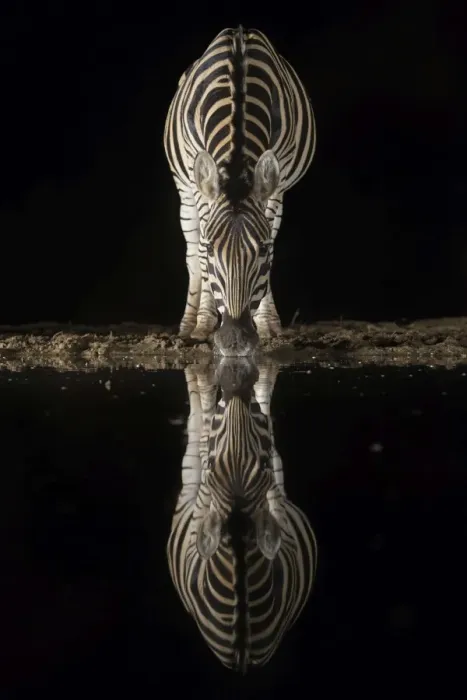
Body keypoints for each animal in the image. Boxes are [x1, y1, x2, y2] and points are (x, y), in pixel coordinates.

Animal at [163, 26, 316, 356]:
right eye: (212, 250)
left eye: (261, 251)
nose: (235, 342)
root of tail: (239, 31)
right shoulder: (199, 185)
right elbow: (200, 257)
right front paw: (204, 324)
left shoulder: (275, 182)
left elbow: (270, 243)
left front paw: (266, 323)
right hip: (184, 189)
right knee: (190, 255)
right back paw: (189, 324)